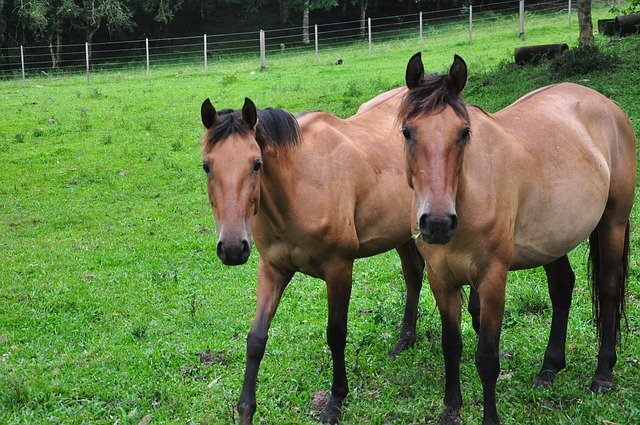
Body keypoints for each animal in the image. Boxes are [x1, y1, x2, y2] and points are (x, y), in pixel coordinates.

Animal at [200, 91, 476, 422]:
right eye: (206, 166)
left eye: (256, 164)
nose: (231, 248)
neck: (300, 184)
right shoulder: (272, 269)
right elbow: (256, 339)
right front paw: (245, 411)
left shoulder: (339, 269)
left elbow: (336, 334)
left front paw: (335, 401)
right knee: (412, 273)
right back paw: (404, 341)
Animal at [400, 53, 636, 424]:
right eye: (408, 131)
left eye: (464, 133)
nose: (437, 223)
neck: (468, 196)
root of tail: (607, 105)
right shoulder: (441, 279)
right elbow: (451, 347)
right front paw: (451, 410)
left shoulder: (493, 278)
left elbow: (487, 358)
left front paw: (490, 418)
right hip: (554, 240)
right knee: (562, 288)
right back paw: (549, 369)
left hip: (613, 223)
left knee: (610, 289)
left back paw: (603, 374)